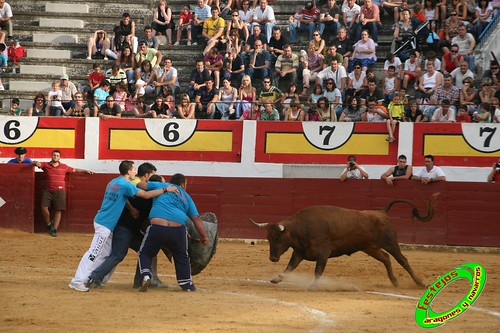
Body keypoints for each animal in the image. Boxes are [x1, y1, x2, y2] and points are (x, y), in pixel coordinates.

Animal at [250, 192, 438, 288]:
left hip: (390, 243)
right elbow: (289, 267)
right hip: (369, 247)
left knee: (403, 260)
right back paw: (394, 281)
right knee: (385, 258)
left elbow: (318, 270)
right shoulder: (299, 252)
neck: (301, 228)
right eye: (268, 237)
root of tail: (382, 212)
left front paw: (313, 286)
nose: (273, 258)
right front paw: (276, 279)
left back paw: (420, 283)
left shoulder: (323, 253)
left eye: (277, 237)